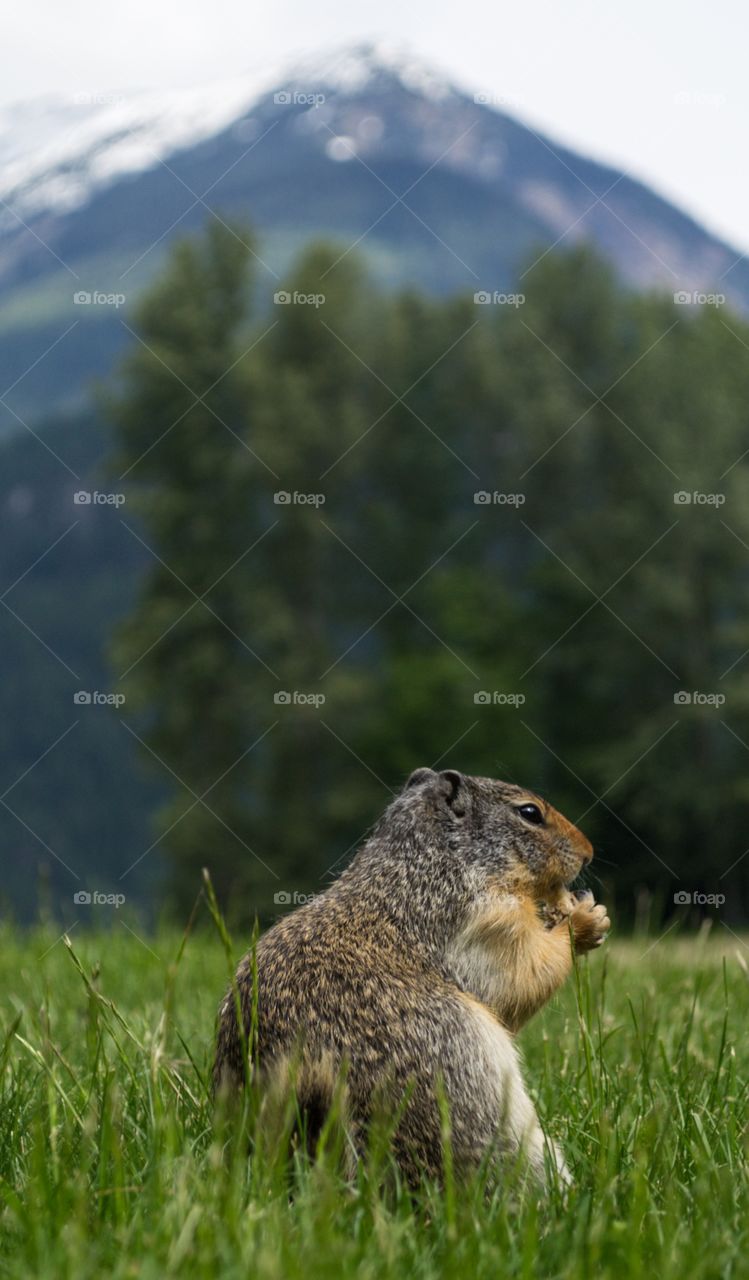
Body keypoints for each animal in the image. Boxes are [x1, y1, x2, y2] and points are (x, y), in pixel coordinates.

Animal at [213, 762, 609, 1182]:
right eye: (530, 812)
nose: (589, 851)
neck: (426, 862)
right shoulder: (487, 922)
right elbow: (521, 974)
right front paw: (586, 919)